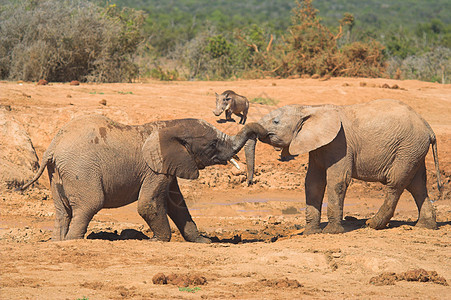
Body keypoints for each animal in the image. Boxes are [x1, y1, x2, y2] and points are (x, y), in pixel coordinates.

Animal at [19, 115, 268, 241]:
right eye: (213, 144)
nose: (248, 181)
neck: (168, 126)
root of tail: (52, 147)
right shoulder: (154, 170)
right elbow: (148, 204)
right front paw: (159, 241)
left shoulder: (168, 165)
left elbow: (177, 204)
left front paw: (203, 242)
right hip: (80, 170)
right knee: (89, 205)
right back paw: (75, 241)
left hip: (57, 175)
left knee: (63, 212)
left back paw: (58, 242)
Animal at [245, 99, 444, 234]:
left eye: (276, 122)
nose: (249, 182)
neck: (310, 108)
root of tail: (428, 127)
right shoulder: (318, 147)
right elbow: (313, 183)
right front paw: (311, 232)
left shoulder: (340, 143)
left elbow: (337, 181)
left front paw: (331, 232)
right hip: (413, 151)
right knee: (417, 185)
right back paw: (425, 227)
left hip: (407, 149)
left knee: (396, 184)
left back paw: (372, 225)